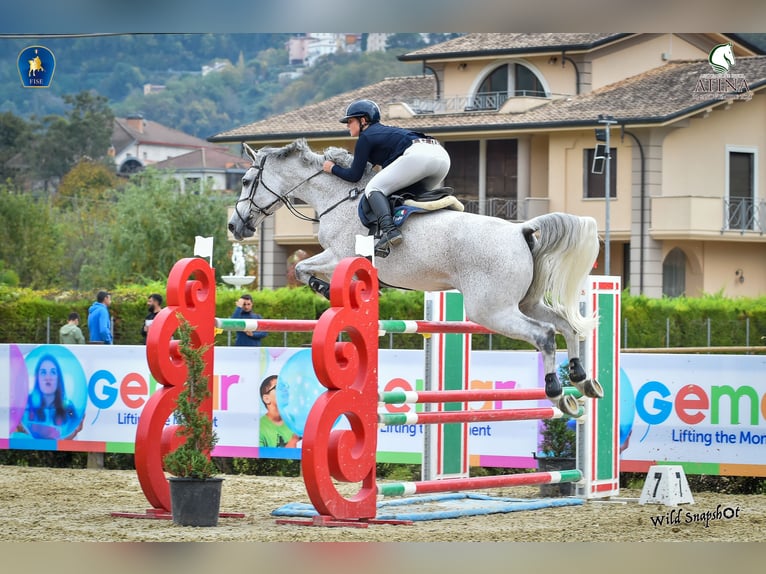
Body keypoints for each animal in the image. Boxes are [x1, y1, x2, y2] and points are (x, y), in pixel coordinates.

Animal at [228, 138, 603, 416]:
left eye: (245, 182)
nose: (234, 226)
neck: (337, 198)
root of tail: (521, 230)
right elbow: (302, 268)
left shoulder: (340, 256)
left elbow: (301, 268)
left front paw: (323, 287)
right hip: (525, 301)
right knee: (567, 326)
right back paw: (582, 380)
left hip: (491, 310)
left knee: (545, 334)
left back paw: (557, 391)